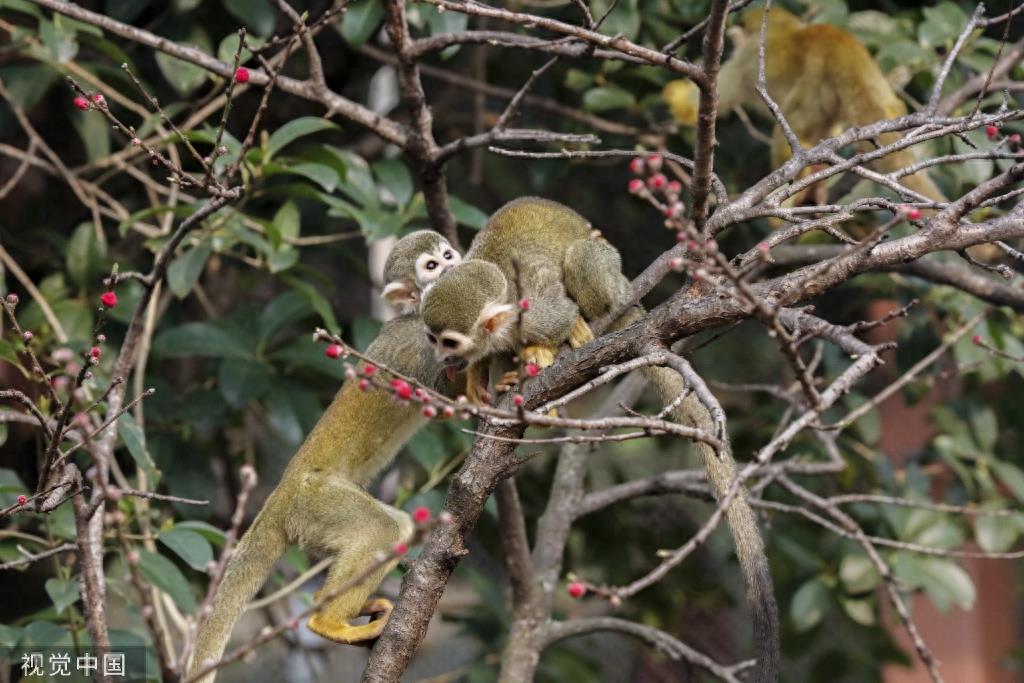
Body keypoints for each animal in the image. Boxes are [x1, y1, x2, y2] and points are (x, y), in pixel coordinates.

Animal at [415, 196, 774, 679]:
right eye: (432, 339)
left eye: (448, 341)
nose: (441, 358)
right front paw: (478, 380)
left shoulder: (535, 308)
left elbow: (557, 310)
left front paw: (546, 345)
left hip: (611, 278)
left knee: (584, 261)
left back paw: (576, 331)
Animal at [663, 6, 942, 202]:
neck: (785, 29)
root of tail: (842, 51)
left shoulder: (747, 56)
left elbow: (700, 103)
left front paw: (672, 96)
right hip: (879, 92)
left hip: (815, 88)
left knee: (787, 134)